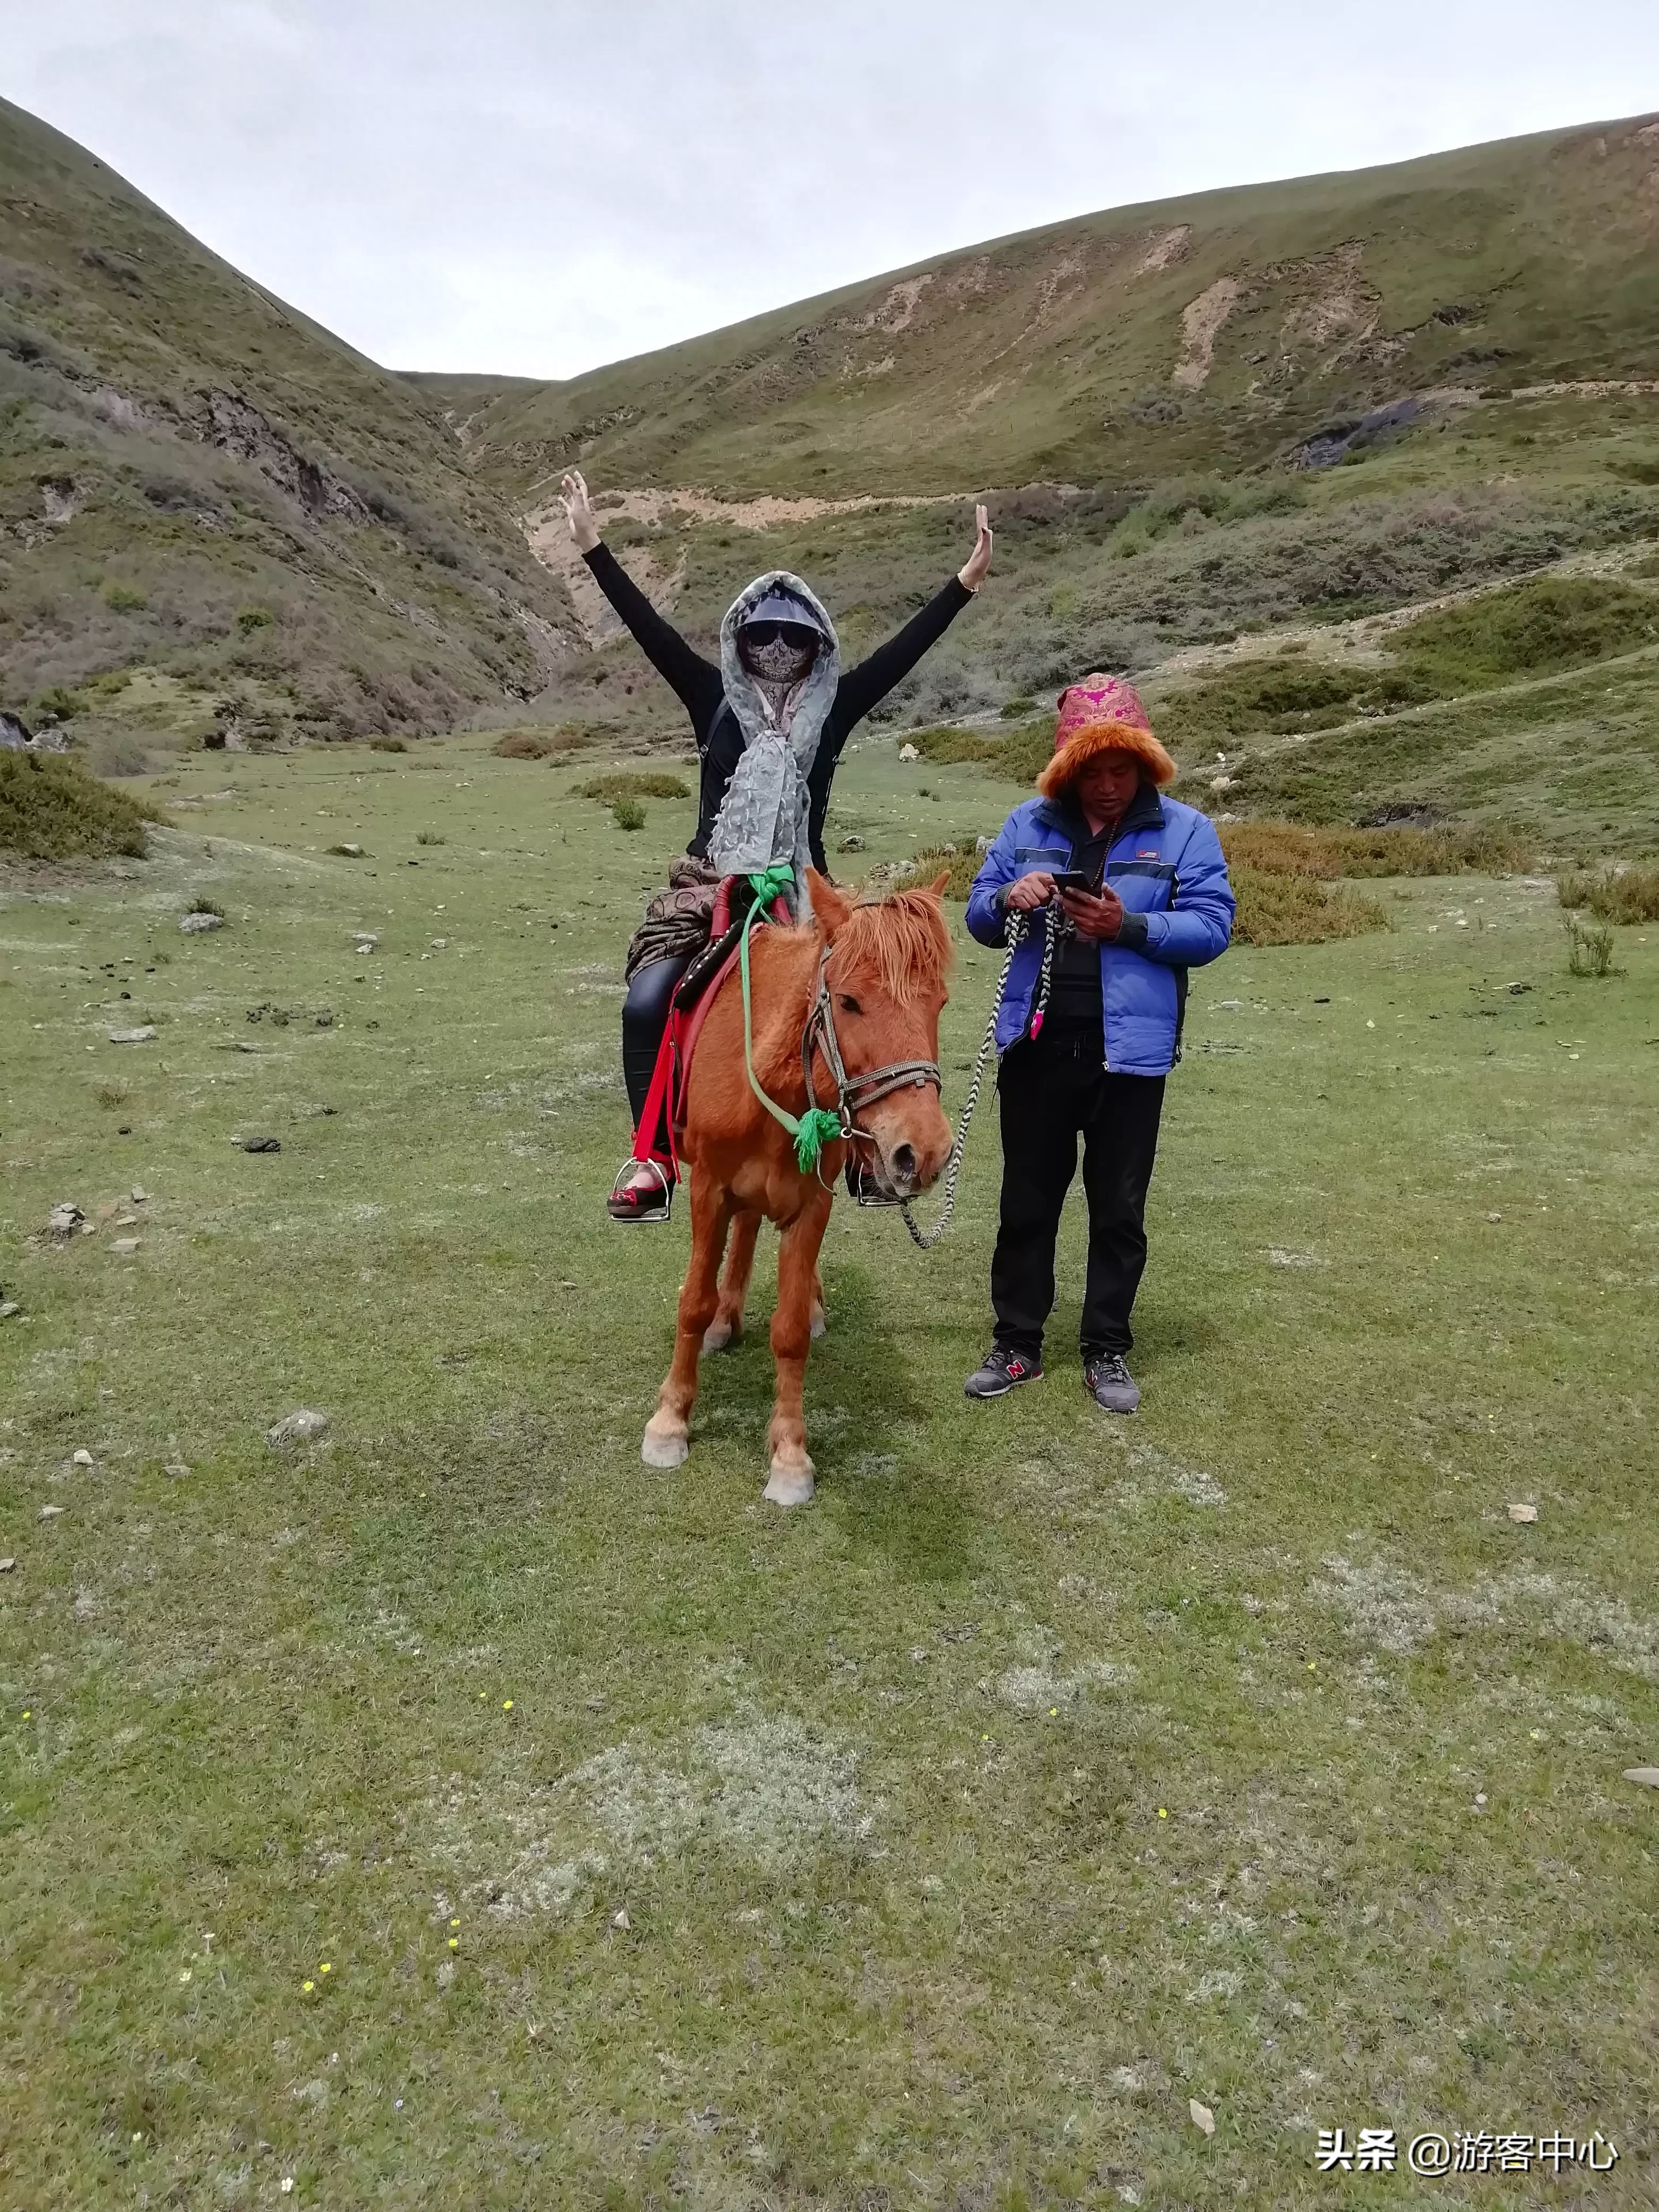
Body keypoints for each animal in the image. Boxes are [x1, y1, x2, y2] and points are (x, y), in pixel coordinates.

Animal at [650, 862, 960, 1504]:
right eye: (849, 1001)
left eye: (939, 1003)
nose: (925, 1152)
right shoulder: (708, 1189)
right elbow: (692, 1302)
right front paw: (669, 1423)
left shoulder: (813, 1203)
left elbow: (789, 1331)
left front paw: (790, 1457)